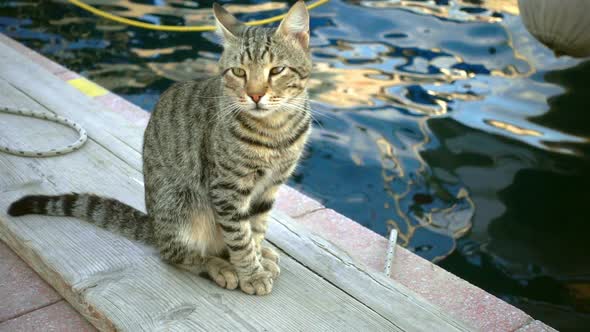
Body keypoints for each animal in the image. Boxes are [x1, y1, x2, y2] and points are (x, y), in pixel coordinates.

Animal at [6, 1, 312, 294]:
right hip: (182, 203)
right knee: (175, 254)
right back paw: (218, 266)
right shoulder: (227, 189)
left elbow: (255, 229)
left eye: (277, 70)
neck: (276, 130)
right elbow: (239, 237)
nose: (255, 95)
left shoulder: (270, 187)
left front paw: (258, 258)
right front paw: (251, 273)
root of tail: (154, 225)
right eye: (239, 72)